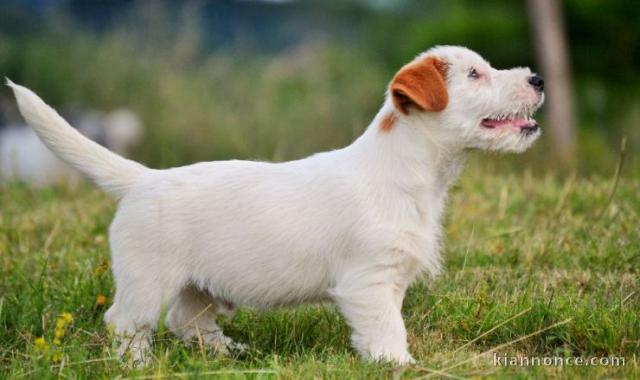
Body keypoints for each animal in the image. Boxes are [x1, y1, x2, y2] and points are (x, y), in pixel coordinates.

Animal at [7, 44, 544, 366]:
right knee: (127, 324)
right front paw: (400, 366)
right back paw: (137, 366)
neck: (412, 174)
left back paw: (228, 352)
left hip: (197, 285)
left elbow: (391, 324)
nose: (537, 79)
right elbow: (387, 330)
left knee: (187, 320)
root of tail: (143, 179)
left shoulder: (390, 280)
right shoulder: (368, 283)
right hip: (148, 280)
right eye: (475, 74)